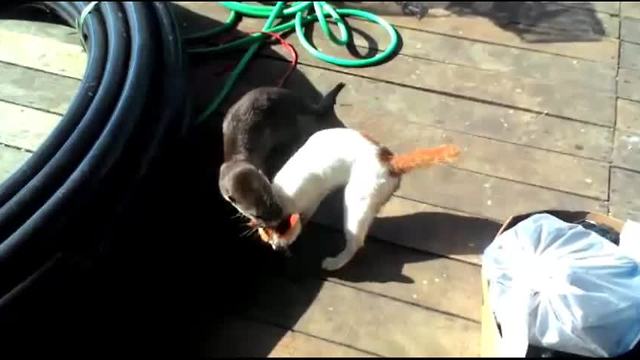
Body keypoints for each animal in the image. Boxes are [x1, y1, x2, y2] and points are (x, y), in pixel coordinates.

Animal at [218, 82, 344, 226]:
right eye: (256, 214)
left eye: (271, 199)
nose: (278, 218)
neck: (236, 159)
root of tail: (290, 97)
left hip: (285, 123)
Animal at [254, 127, 460, 270]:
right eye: (267, 239)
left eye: (279, 240)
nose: (276, 248)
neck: (277, 198)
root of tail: (390, 160)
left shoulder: (312, 199)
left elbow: (305, 216)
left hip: (355, 201)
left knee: (356, 241)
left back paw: (335, 262)